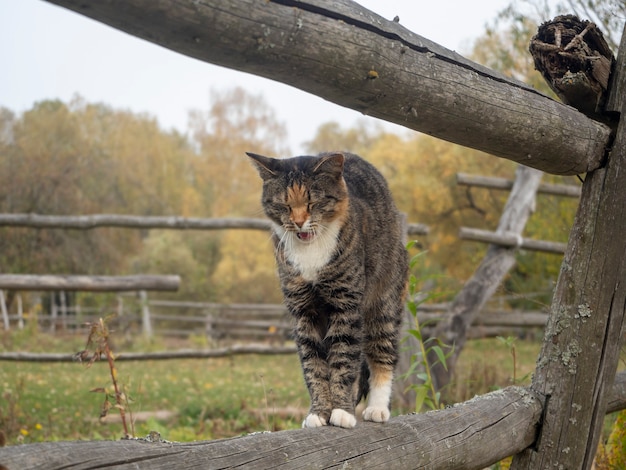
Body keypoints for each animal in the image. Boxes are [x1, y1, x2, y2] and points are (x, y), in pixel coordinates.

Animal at [246, 151, 408, 430]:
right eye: (284, 205)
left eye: (313, 202)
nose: (299, 222)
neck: (310, 250)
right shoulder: (304, 311)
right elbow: (313, 364)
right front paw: (319, 412)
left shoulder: (346, 304)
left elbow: (343, 359)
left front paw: (341, 412)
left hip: (384, 301)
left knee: (382, 352)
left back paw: (377, 408)